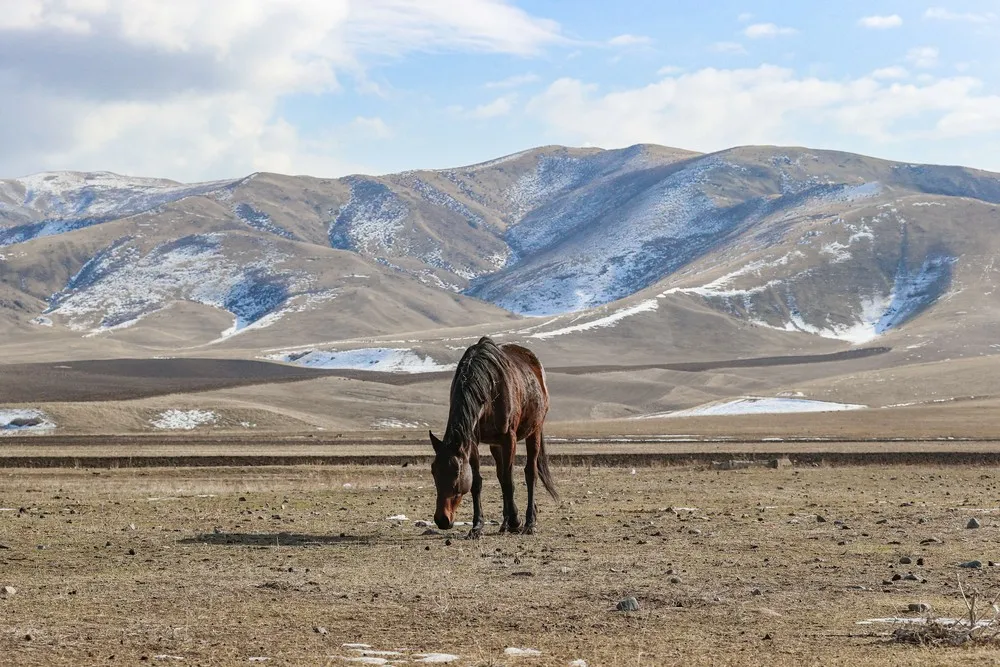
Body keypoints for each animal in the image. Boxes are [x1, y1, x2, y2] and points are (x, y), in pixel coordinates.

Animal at [428, 336, 560, 540]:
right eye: (434, 471)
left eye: (456, 473)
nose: (442, 520)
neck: (489, 392)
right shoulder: (473, 441)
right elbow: (477, 482)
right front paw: (477, 526)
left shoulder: (509, 438)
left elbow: (509, 480)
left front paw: (516, 521)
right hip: (495, 444)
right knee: (500, 474)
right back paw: (504, 524)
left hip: (534, 431)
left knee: (530, 473)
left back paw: (529, 523)